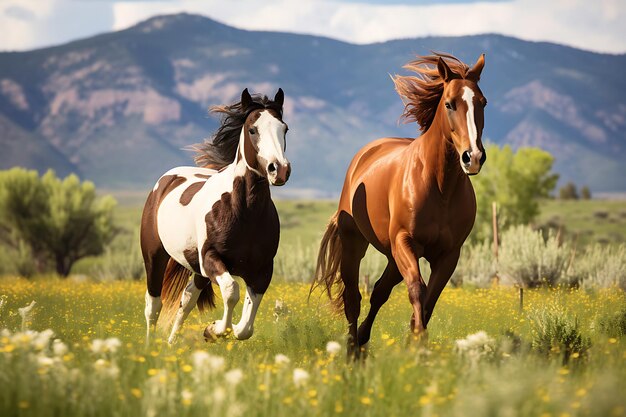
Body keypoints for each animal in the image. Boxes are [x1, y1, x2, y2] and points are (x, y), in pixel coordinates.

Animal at [140, 87, 288, 342]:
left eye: (284, 128)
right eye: (253, 129)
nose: (278, 170)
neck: (244, 213)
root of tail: (166, 181)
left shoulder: (262, 270)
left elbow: (246, 327)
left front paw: (217, 330)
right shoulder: (212, 258)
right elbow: (231, 291)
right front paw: (215, 330)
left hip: (198, 270)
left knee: (187, 299)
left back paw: (171, 344)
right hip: (155, 256)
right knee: (154, 305)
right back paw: (150, 347)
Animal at [314, 53, 486, 356]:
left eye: (483, 102)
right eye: (450, 103)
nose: (473, 157)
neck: (440, 188)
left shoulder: (449, 255)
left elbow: (429, 300)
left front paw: (416, 343)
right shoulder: (406, 242)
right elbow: (418, 290)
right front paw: (418, 342)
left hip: (393, 257)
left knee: (379, 292)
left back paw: (362, 341)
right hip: (356, 244)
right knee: (353, 298)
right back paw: (352, 350)